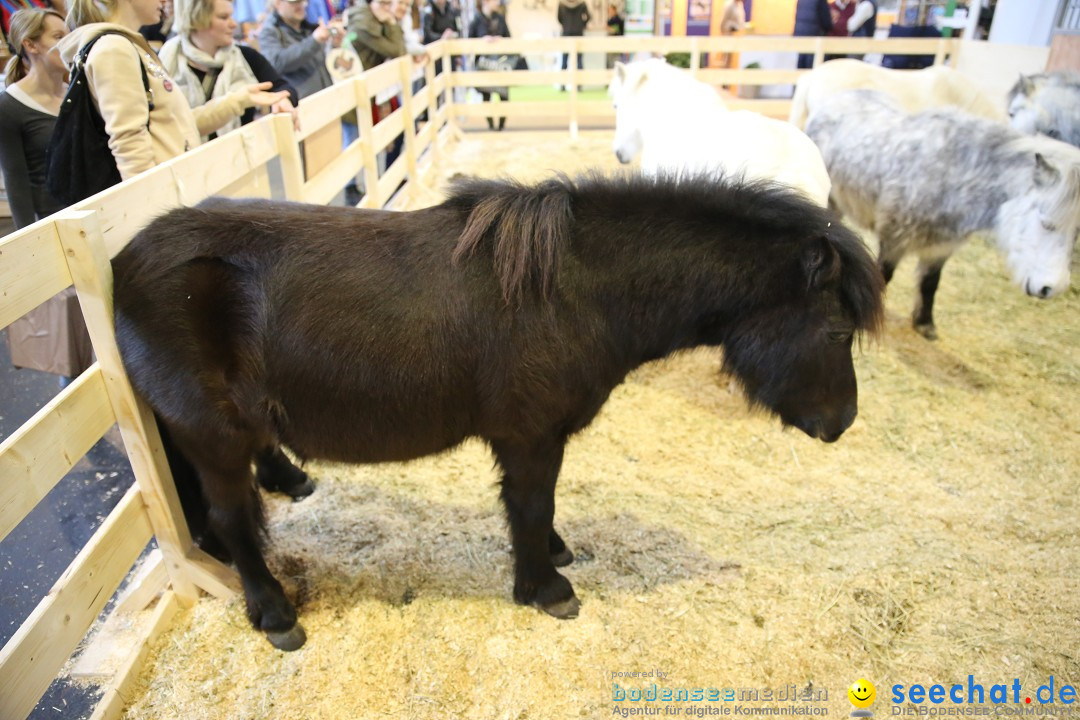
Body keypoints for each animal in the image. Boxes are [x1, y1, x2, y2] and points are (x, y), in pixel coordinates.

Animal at [111, 172, 885, 651]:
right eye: (836, 331)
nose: (843, 422)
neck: (576, 289)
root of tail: (122, 261)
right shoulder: (530, 436)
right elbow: (532, 506)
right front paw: (545, 588)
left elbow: (537, 510)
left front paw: (553, 556)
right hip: (212, 438)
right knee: (231, 519)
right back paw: (272, 610)